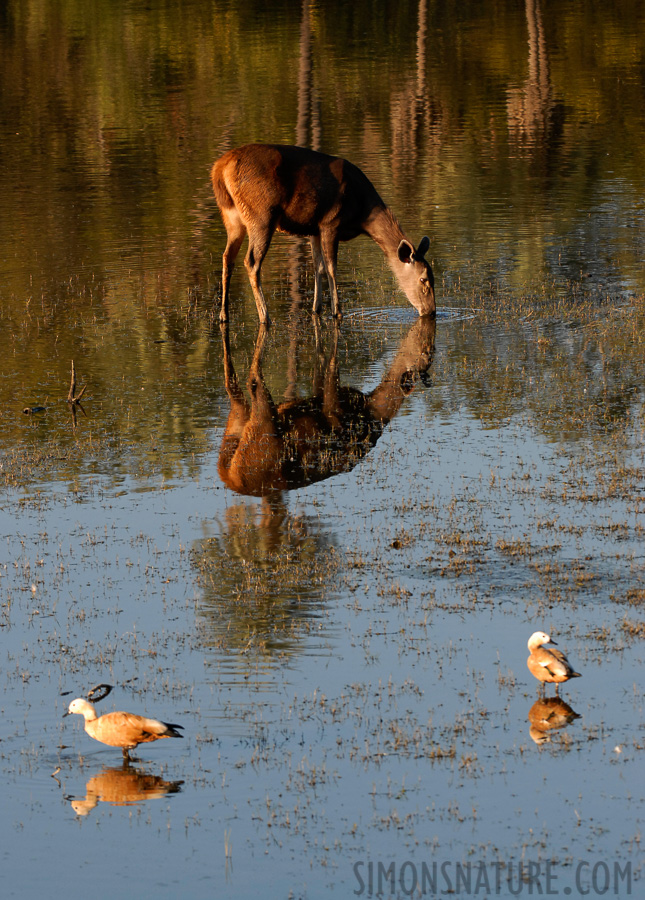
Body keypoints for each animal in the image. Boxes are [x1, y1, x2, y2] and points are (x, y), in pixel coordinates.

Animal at [214, 141, 436, 324]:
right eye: (423, 279)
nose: (432, 311)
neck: (363, 213)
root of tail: (220, 168)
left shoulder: (314, 228)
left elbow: (317, 266)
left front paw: (316, 308)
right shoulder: (331, 222)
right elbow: (331, 267)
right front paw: (337, 311)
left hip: (232, 218)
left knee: (227, 257)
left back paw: (224, 315)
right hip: (262, 215)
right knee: (251, 262)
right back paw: (264, 316)